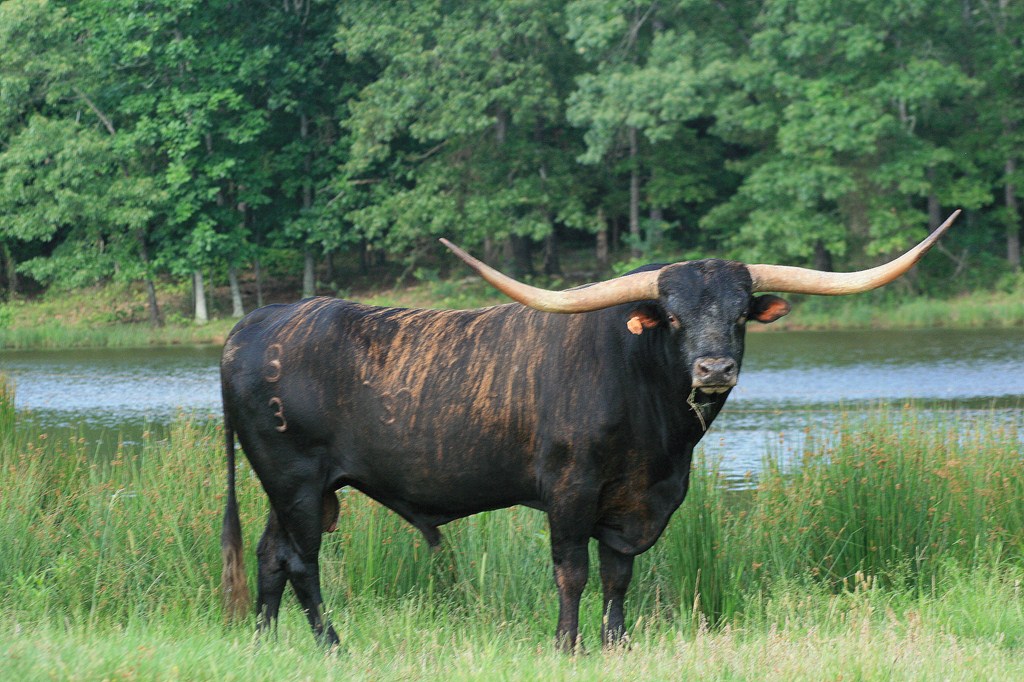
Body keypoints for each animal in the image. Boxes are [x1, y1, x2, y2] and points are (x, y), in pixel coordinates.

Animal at [220, 210, 959, 649]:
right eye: (672, 314)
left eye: (741, 313)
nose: (715, 367)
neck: (660, 437)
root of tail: (254, 324)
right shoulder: (571, 490)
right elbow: (572, 571)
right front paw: (566, 644)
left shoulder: (636, 501)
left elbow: (619, 574)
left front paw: (616, 643)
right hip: (295, 480)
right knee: (301, 561)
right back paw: (331, 645)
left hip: (297, 489)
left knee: (270, 555)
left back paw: (264, 642)